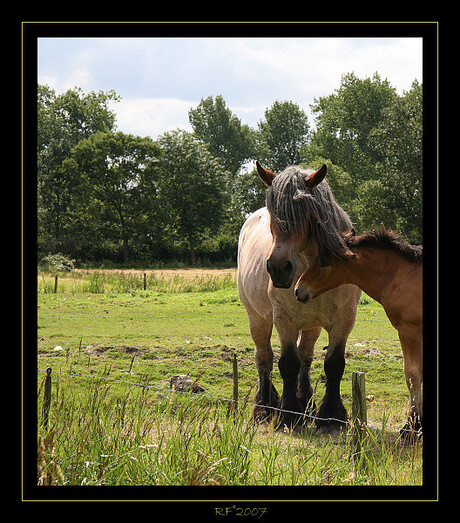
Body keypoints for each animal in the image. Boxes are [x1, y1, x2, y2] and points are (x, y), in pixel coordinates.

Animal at [237, 164, 362, 434]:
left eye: (304, 213)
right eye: (273, 214)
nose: (278, 268)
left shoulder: (344, 320)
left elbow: (333, 364)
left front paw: (330, 416)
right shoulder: (284, 319)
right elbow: (287, 364)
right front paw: (288, 415)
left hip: (311, 325)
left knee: (305, 356)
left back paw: (306, 402)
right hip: (257, 319)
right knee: (264, 358)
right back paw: (265, 407)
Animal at [296, 227, 422, 440]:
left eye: (322, 262)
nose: (298, 289)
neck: (401, 275)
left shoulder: (409, 331)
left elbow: (412, 376)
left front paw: (410, 428)